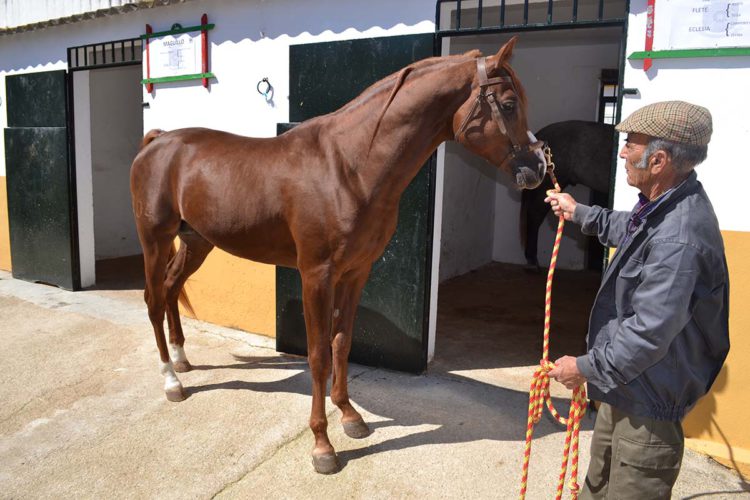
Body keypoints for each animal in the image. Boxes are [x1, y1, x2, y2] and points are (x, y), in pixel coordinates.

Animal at [128, 37, 548, 474]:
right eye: (508, 104)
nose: (537, 167)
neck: (350, 167)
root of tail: (158, 140)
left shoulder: (356, 272)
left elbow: (342, 342)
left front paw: (349, 416)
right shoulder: (317, 275)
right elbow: (317, 354)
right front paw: (322, 445)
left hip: (196, 241)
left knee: (172, 288)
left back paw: (182, 360)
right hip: (155, 240)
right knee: (154, 298)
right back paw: (172, 381)